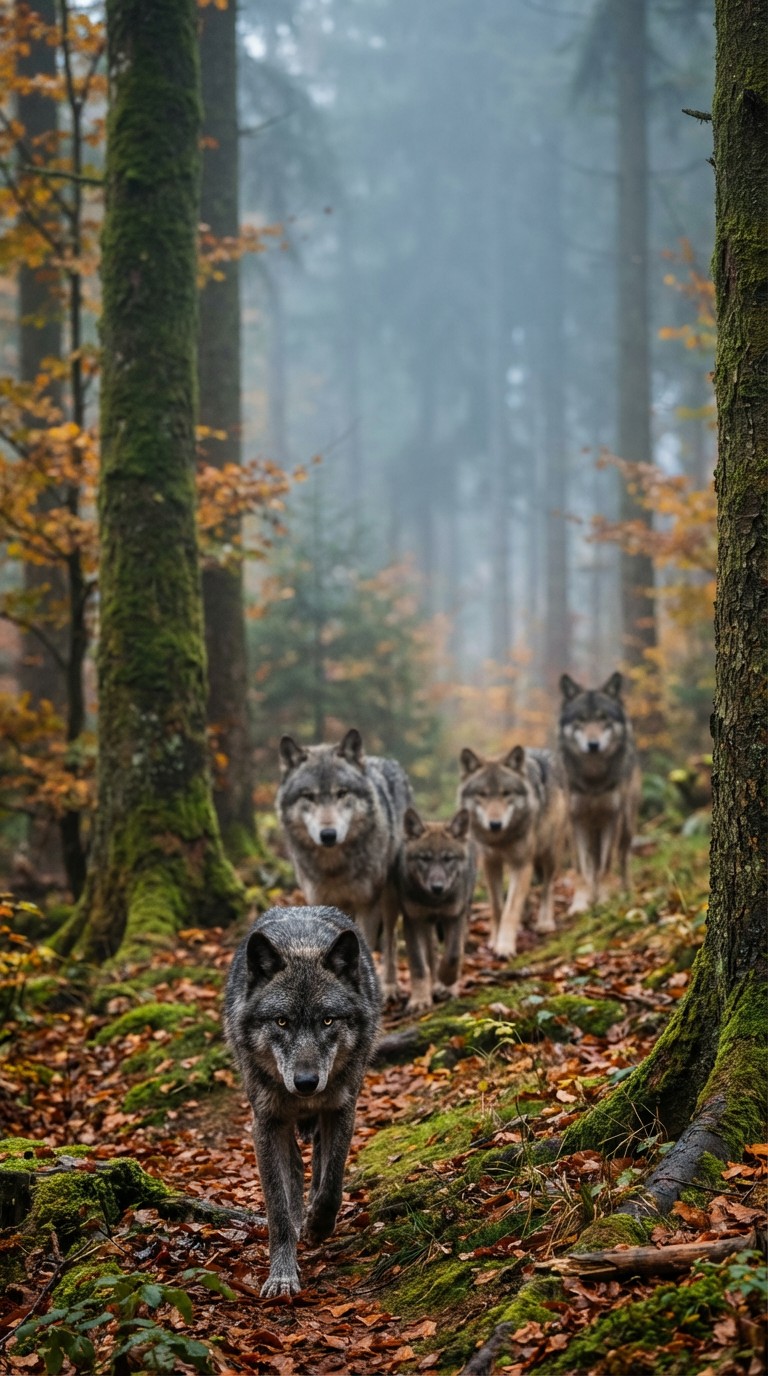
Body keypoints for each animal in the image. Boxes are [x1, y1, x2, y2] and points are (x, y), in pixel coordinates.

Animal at [223, 905, 381, 1298]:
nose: (306, 1083)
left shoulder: (341, 1109)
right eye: (282, 1021)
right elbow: (278, 1208)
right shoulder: (266, 1124)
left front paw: (318, 1226)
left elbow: (332, 1183)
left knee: (319, 1166)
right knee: (295, 1171)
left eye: (327, 1020)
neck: (301, 944)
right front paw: (282, 1273)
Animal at [276, 728, 412, 1001]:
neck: (334, 869)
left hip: (389, 896)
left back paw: (390, 987)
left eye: (341, 793)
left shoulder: (367, 904)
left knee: (391, 940)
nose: (328, 835)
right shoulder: (319, 901)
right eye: (308, 796)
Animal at [396, 807, 476, 1014]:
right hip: (427, 926)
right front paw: (419, 1000)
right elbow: (419, 966)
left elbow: (453, 955)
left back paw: (446, 987)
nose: (437, 887)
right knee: (431, 956)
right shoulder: (413, 921)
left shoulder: (455, 916)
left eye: (448, 858)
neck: (434, 902)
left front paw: (446, 980)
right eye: (424, 858)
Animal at [458, 745, 567, 958]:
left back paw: (544, 922)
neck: (501, 839)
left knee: (547, 887)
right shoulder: (491, 862)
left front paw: (505, 947)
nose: (495, 824)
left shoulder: (522, 863)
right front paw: (494, 940)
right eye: (482, 794)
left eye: (506, 793)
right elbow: (497, 906)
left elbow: (510, 909)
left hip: (549, 853)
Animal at [558, 671, 642, 912]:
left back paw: (625, 892)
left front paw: (605, 901)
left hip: (627, 824)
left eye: (604, 718)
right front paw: (581, 903)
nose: (593, 745)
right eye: (581, 719)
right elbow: (581, 869)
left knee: (623, 859)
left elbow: (606, 865)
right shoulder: (575, 820)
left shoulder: (612, 818)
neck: (593, 780)